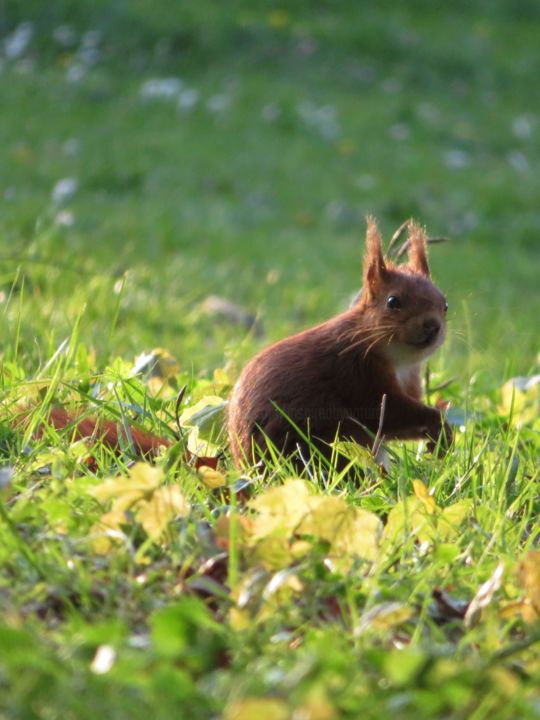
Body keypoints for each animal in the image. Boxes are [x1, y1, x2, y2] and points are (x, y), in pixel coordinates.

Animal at [227, 217, 452, 470]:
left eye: (445, 305)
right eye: (393, 301)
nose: (432, 326)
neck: (398, 360)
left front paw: (438, 438)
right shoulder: (357, 374)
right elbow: (387, 414)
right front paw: (440, 426)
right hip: (326, 437)